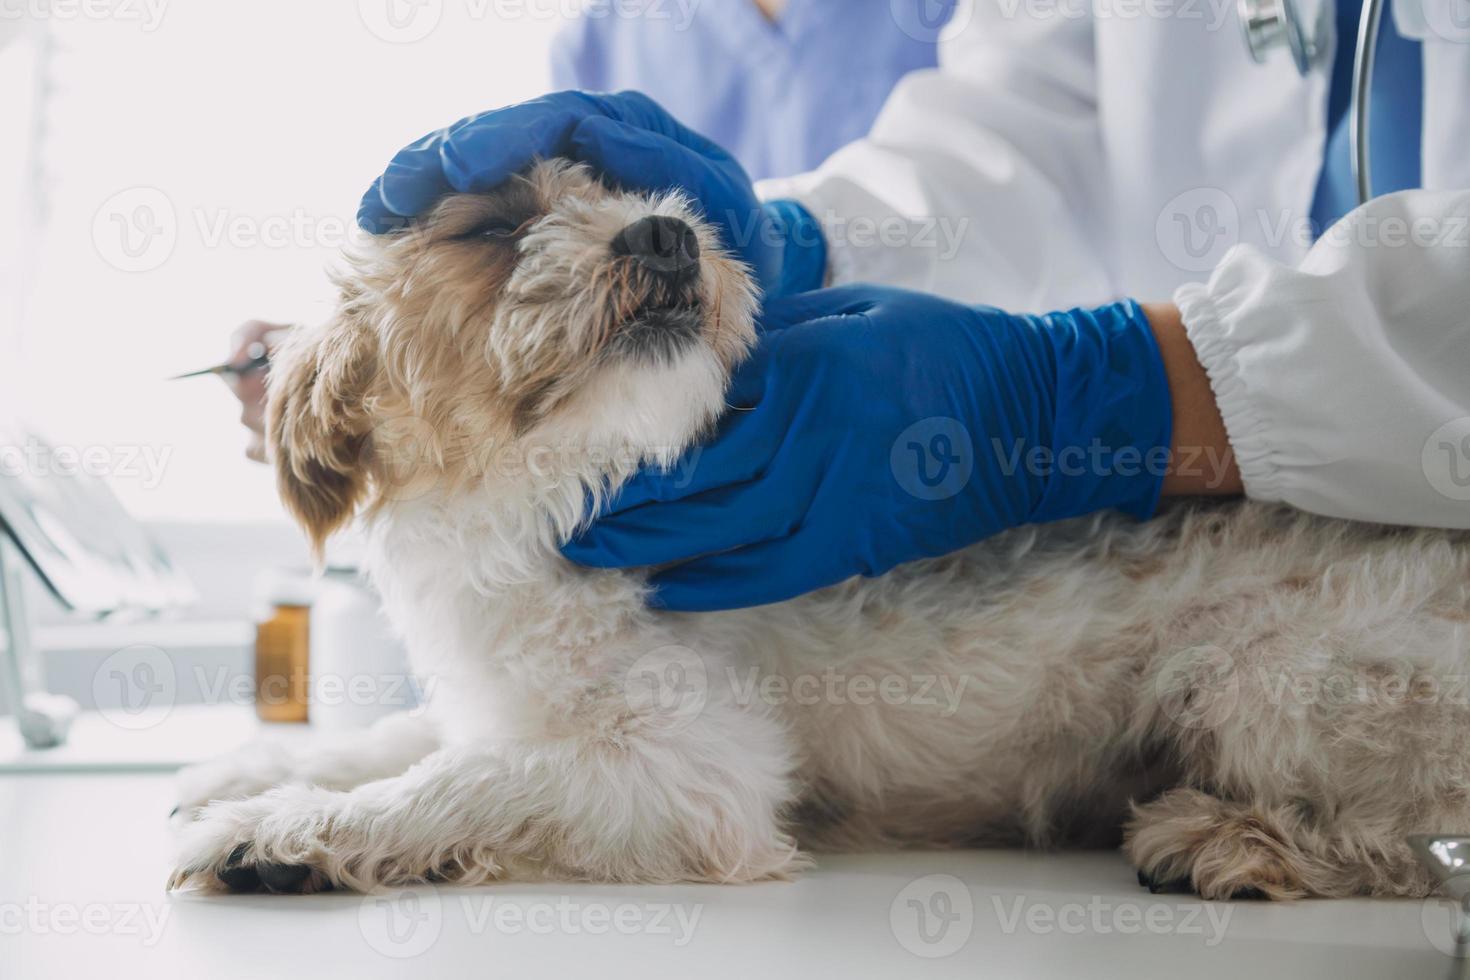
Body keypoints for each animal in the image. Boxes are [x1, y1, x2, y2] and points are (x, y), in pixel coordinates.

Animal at [171, 159, 1470, 899]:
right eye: (491, 226)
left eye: (631, 194)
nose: (666, 232)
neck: (566, 499)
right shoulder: (499, 697)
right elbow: (401, 738)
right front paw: (255, 769)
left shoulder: (689, 771)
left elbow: (459, 781)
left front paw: (283, 829)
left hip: (1256, 677)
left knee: (1405, 845)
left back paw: (1230, 839)